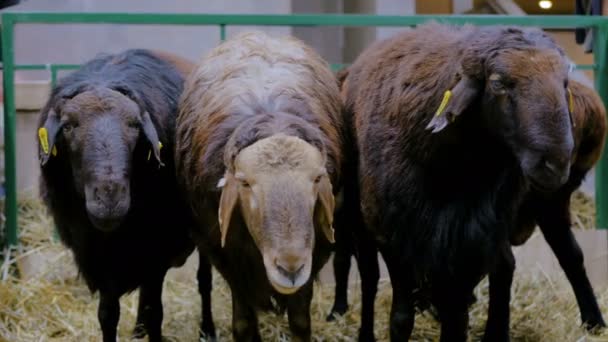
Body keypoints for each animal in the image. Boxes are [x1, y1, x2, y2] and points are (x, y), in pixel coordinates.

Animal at [36, 49, 216, 342]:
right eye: (69, 126)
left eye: (134, 126)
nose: (109, 197)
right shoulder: (100, 256)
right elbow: (108, 315)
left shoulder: (157, 250)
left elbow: (156, 311)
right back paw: (138, 329)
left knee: (204, 279)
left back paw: (207, 330)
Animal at [176, 30, 344, 340]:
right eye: (245, 183)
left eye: (317, 179)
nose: (290, 267)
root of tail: (260, 34)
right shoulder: (227, 253)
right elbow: (243, 322)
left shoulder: (316, 249)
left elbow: (300, 321)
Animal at [340, 22, 576, 340]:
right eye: (498, 83)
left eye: (564, 83)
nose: (555, 164)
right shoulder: (394, 237)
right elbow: (400, 316)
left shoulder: (473, 242)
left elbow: (457, 318)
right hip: (362, 220)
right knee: (368, 276)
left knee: (504, 266)